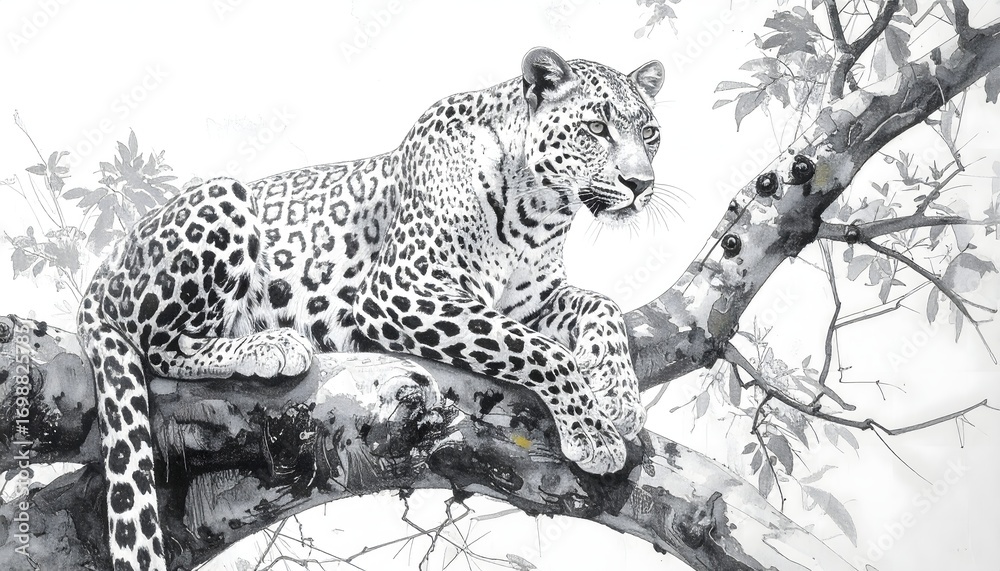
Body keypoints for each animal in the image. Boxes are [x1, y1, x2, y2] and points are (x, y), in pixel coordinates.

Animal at [77, 47, 664, 571]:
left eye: (651, 134)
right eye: (596, 128)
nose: (641, 184)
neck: (539, 210)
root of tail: (103, 270)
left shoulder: (533, 302)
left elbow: (601, 305)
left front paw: (620, 397)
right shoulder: (400, 292)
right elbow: (542, 352)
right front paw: (595, 436)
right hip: (225, 199)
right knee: (161, 346)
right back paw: (271, 345)